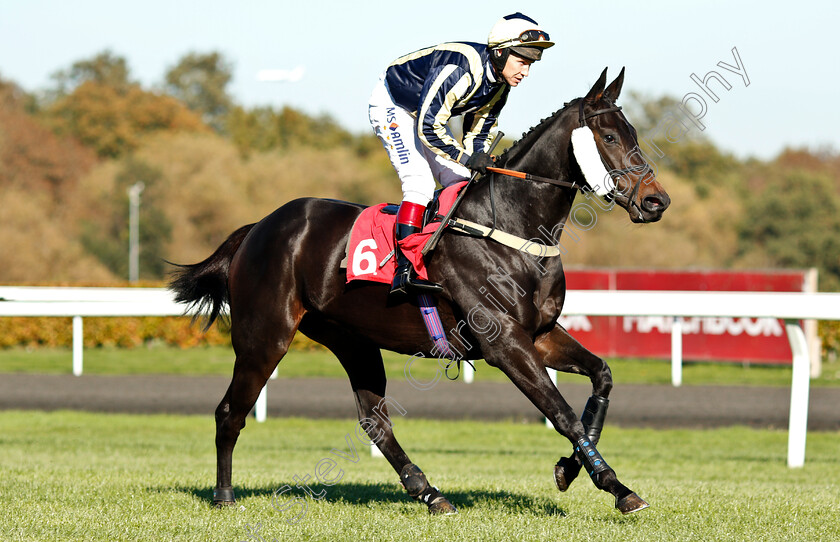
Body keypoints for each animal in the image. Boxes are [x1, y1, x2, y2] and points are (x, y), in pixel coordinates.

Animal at [169, 68, 668, 520]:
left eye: (633, 134)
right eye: (609, 135)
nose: (656, 201)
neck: (510, 227)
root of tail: (260, 227)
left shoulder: (540, 334)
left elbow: (600, 380)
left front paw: (573, 469)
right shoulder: (505, 342)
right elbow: (561, 412)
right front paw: (616, 486)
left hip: (352, 340)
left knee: (374, 420)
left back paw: (429, 492)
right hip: (265, 336)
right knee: (230, 411)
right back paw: (224, 495)